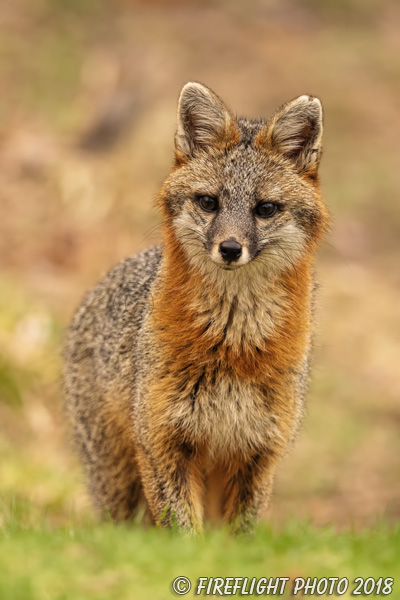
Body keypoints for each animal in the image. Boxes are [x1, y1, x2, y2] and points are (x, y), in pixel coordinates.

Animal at [64, 82, 330, 532]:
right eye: (209, 202)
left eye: (265, 209)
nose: (230, 248)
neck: (233, 344)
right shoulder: (163, 442)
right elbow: (183, 532)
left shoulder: (258, 452)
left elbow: (238, 536)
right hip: (117, 482)